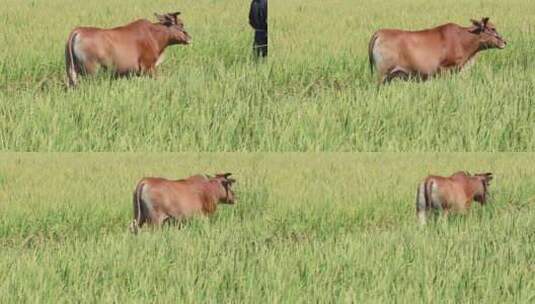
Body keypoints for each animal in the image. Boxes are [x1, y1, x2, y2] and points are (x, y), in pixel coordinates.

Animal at [368, 17, 506, 83]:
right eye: (492, 28)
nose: (504, 42)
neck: (463, 39)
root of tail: (380, 32)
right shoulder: (445, 69)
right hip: (382, 74)